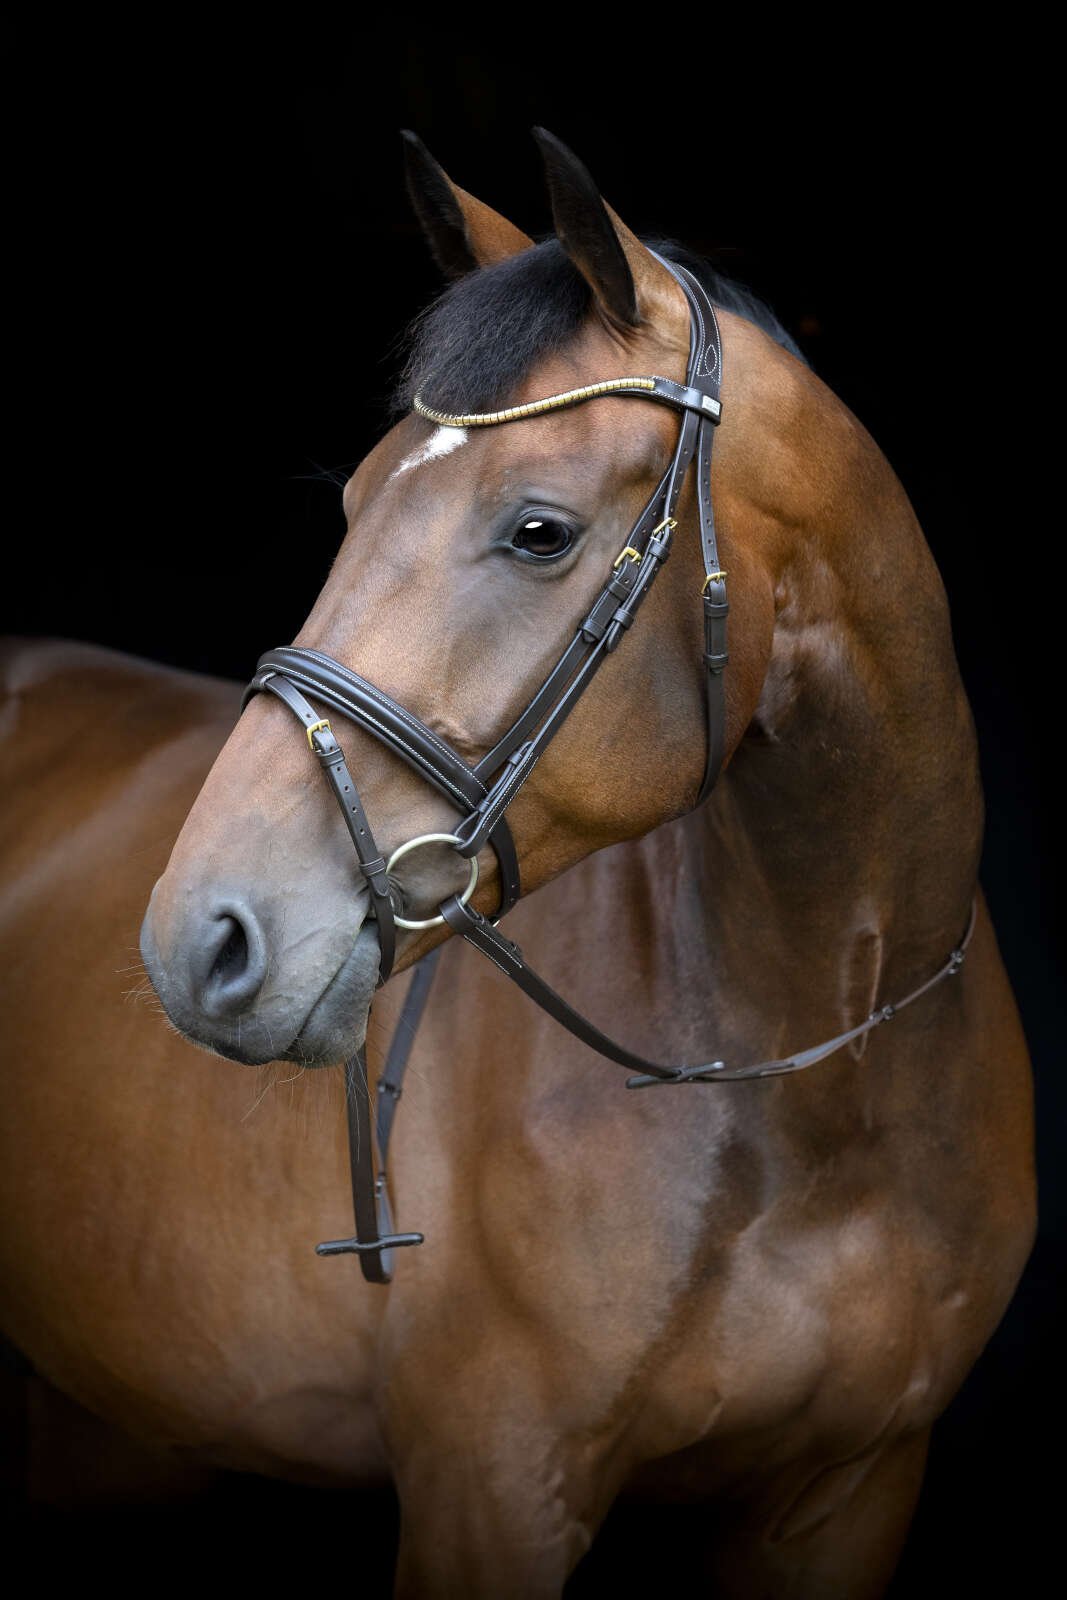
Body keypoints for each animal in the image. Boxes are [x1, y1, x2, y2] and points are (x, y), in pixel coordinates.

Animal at [0, 130, 1034, 1595]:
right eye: (355, 501)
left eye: (537, 531)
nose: (200, 938)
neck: (818, 1089)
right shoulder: (492, 1492)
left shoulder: (850, 1494)